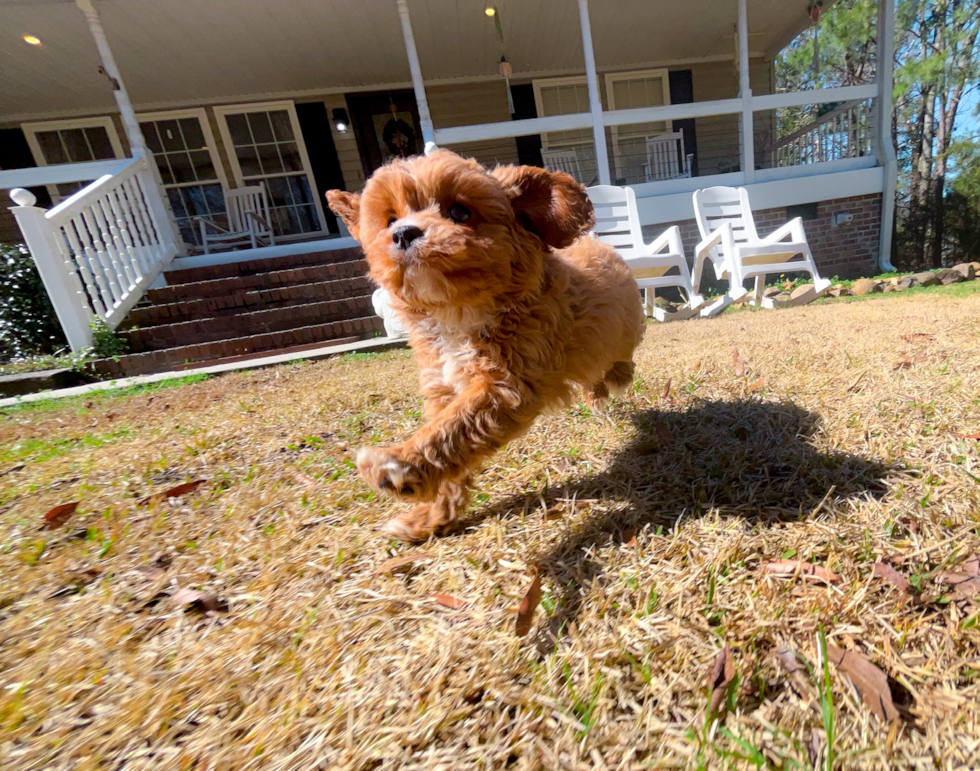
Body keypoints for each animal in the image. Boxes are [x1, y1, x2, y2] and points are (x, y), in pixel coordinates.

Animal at [330, 148, 648, 540]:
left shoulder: (507, 385)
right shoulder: (443, 386)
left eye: (459, 212)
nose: (403, 233)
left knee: (619, 361)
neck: (458, 314)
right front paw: (432, 516)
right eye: (390, 219)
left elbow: (455, 427)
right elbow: (451, 443)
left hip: (621, 331)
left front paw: (398, 465)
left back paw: (614, 379)